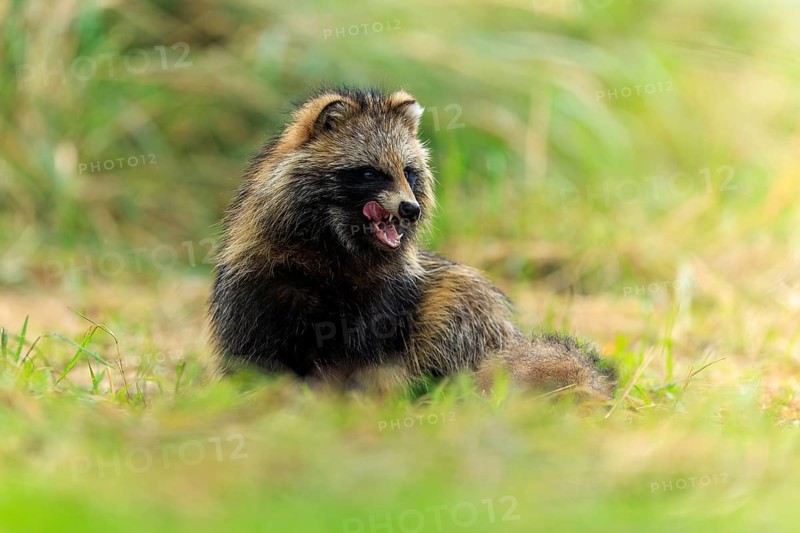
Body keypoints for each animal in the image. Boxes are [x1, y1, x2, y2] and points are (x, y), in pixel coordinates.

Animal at [209, 87, 616, 399]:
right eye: (370, 172)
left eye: (409, 171)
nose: (411, 209)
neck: (339, 249)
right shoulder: (260, 284)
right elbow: (251, 356)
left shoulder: (389, 296)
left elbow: (374, 352)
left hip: (467, 313)